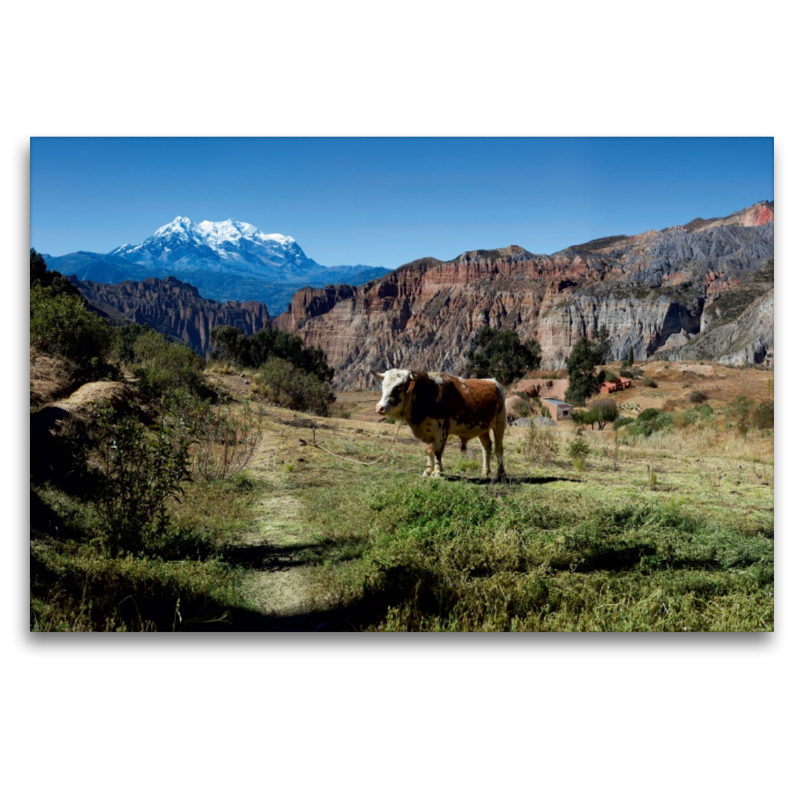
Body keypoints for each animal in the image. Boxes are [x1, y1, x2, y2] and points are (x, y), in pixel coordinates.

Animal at [370, 368, 506, 476]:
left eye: (398, 388)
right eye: (383, 386)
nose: (379, 408)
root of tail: (492, 382)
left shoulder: (441, 429)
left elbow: (437, 451)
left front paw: (437, 471)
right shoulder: (428, 430)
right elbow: (429, 450)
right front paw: (427, 470)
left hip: (499, 424)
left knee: (499, 449)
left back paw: (500, 473)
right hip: (482, 428)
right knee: (486, 446)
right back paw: (485, 471)